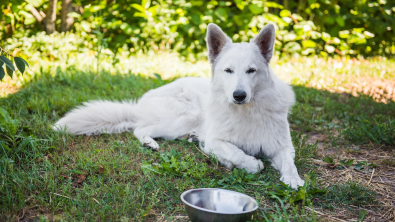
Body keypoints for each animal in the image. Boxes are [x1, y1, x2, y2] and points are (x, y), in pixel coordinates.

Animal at [52, 23, 306, 188]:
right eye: (228, 70)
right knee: (139, 129)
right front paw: (249, 163)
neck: (247, 112)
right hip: (185, 116)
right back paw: (151, 143)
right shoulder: (215, 140)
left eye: (251, 70)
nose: (239, 95)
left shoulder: (282, 146)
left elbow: (289, 162)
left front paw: (293, 179)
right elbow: (238, 153)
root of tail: (141, 103)